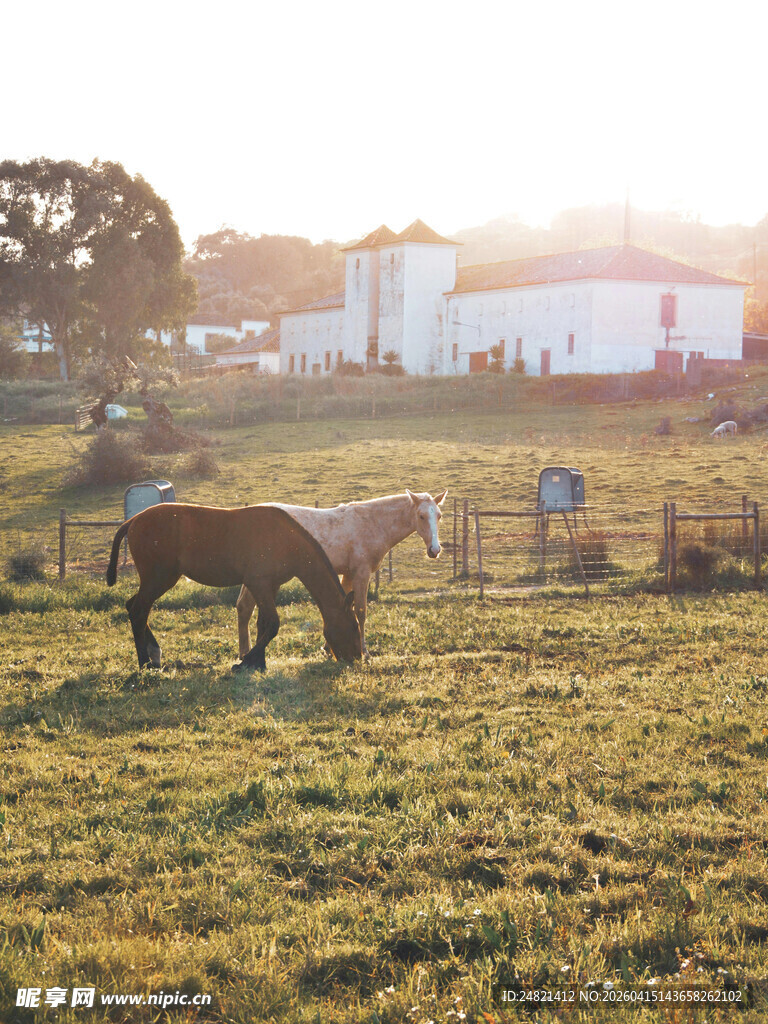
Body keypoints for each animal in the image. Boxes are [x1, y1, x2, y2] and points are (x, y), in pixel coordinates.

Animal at [106, 503, 362, 671]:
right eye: (353, 627)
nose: (357, 659)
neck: (286, 539)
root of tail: (133, 520)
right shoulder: (259, 583)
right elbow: (273, 624)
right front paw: (246, 661)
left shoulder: (270, 586)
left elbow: (263, 623)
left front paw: (258, 663)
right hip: (159, 579)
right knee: (138, 611)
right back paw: (145, 662)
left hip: (156, 581)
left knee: (133, 607)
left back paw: (154, 654)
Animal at [236, 488, 447, 658]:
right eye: (421, 516)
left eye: (438, 515)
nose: (434, 550)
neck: (372, 523)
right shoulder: (361, 573)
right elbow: (361, 611)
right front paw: (364, 652)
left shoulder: (347, 574)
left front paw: (328, 648)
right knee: (245, 607)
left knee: (244, 607)